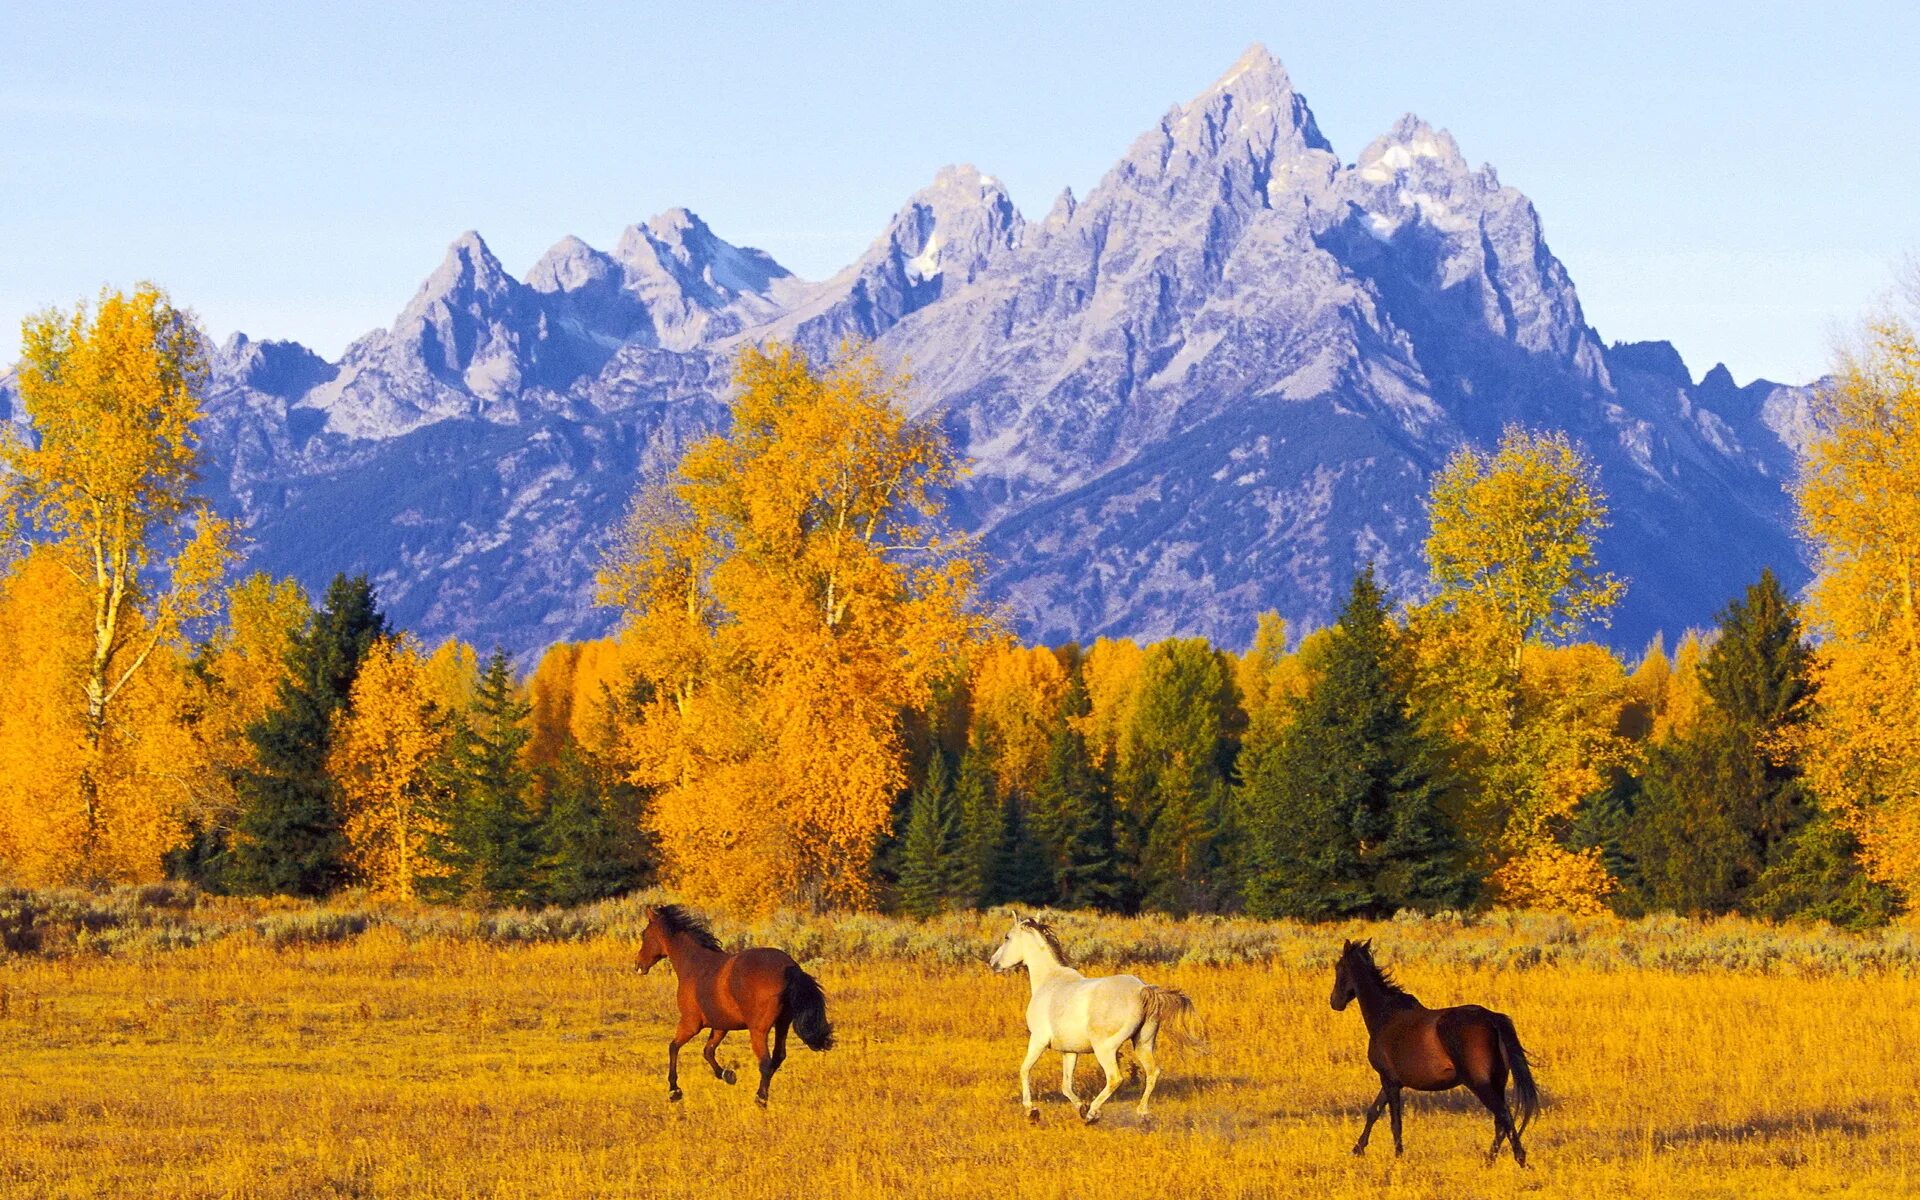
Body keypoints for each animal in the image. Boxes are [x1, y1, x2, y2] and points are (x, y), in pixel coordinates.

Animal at [637, 898, 833, 1105]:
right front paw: (727, 1075)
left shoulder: (690, 1023)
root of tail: (790, 968)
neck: (694, 965)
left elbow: (673, 1047)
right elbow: (708, 1051)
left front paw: (674, 1091)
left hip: (758, 1030)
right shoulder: (720, 1026)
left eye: (644, 935)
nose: (638, 965)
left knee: (765, 1062)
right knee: (777, 1057)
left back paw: (760, 1099)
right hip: (782, 1024)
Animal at [990, 913, 1198, 1121]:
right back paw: (1141, 1111)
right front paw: (1081, 1106)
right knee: (1153, 1072)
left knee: (1115, 1078)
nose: (992, 962)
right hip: (1143, 1043)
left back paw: (1092, 1113)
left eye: (1007, 937)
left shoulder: (1038, 1040)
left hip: (1105, 1048)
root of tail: (1142, 990)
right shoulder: (1069, 1051)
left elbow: (1024, 1070)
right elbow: (1066, 1086)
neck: (1049, 981)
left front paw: (1031, 1110)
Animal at [1328, 936, 1536, 1159]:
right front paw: (1357, 1149)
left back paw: (1519, 1159)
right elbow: (1373, 1112)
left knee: (1504, 1116)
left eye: (1339, 967)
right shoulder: (1392, 1081)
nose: (1334, 1002)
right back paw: (1489, 1160)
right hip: (1497, 1083)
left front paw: (1398, 1156)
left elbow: (1395, 1122)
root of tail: (1492, 1019)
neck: (1386, 1015)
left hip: (1480, 1084)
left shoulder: (1389, 1080)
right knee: (1500, 1122)